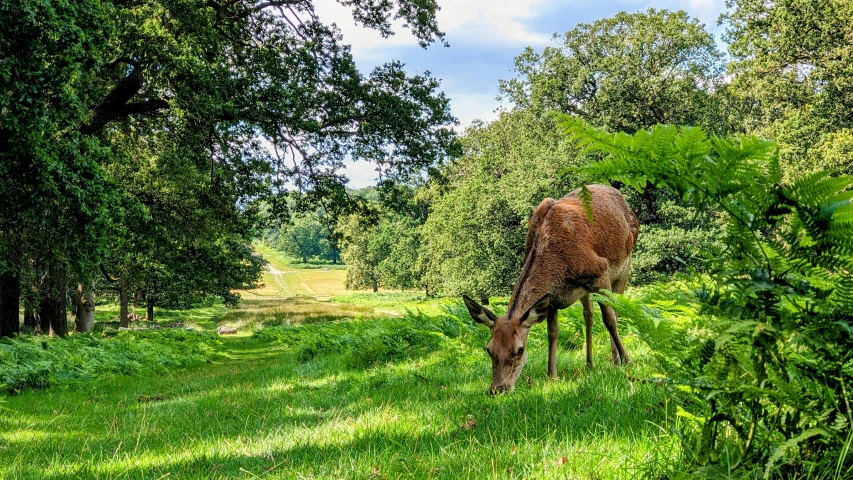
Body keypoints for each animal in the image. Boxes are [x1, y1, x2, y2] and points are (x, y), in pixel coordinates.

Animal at [462, 185, 636, 394]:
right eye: (489, 349)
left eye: (520, 350)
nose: (498, 388)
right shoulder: (552, 298)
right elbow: (552, 333)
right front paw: (552, 376)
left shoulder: (600, 271)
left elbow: (610, 320)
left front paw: (629, 362)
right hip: (586, 291)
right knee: (588, 315)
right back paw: (589, 365)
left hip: (624, 266)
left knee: (615, 311)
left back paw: (616, 362)